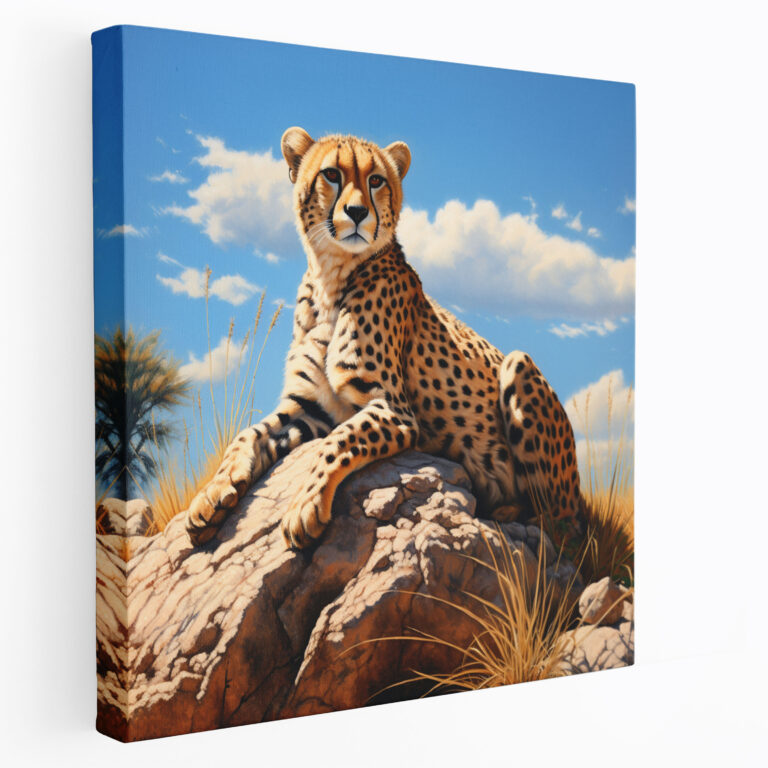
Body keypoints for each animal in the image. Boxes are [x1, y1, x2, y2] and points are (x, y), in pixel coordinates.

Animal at [185, 127, 584, 549]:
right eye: (331, 174)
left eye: (375, 180)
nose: (358, 213)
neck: (330, 277)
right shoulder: (312, 407)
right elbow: (249, 433)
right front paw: (211, 495)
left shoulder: (393, 409)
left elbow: (338, 442)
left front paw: (305, 506)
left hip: (518, 365)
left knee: (562, 524)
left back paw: (506, 514)